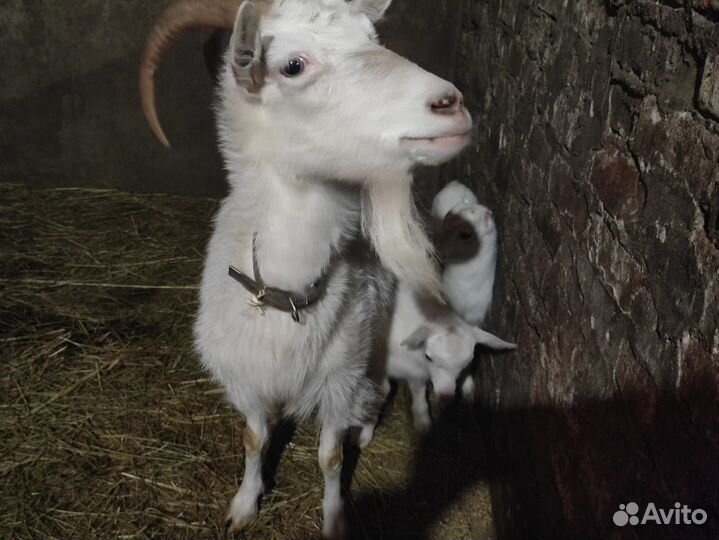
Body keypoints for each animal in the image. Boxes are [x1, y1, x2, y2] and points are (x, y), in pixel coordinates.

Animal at [139, 0, 472, 537]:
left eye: (373, 37)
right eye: (292, 65)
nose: (450, 103)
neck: (285, 292)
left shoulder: (339, 377)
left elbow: (331, 457)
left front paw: (334, 517)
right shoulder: (246, 378)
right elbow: (253, 440)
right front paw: (244, 505)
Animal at [360, 281, 515, 442]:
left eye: (466, 362)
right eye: (429, 357)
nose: (445, 396)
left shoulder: (416, 371)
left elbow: (418, 390)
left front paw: (422, 421)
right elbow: (380, 393)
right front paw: (366, 433)